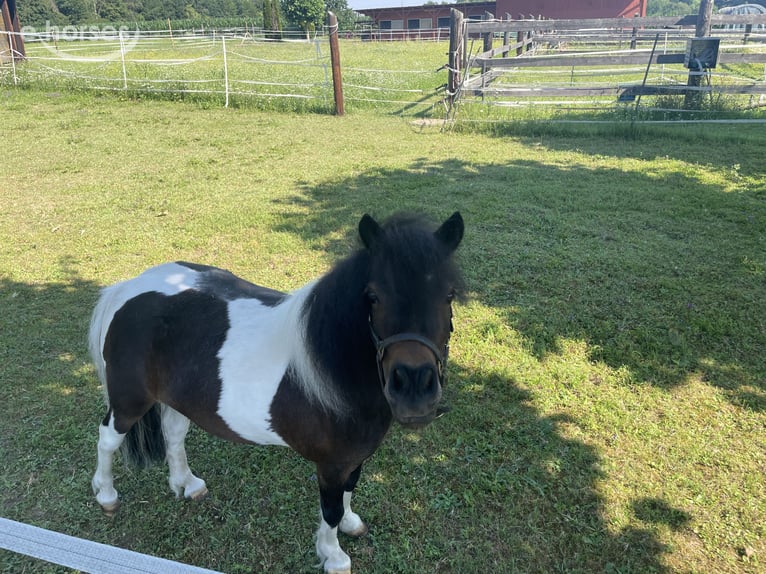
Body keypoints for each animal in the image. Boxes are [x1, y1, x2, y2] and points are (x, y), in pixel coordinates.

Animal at [89, 212, 465, 574]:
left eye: (448, 295)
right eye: (373, 296)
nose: (414, 390)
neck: (334, 368)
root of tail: (128, 288)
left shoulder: (354, 458)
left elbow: (348, 491)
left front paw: (350, 523)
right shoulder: (331, 464)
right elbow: (330, 509)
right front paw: (333, 556)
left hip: (178, 399)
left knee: (174, 433)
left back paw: (188, 484)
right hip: (129, 402)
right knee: (107, 439)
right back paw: (106, 495)